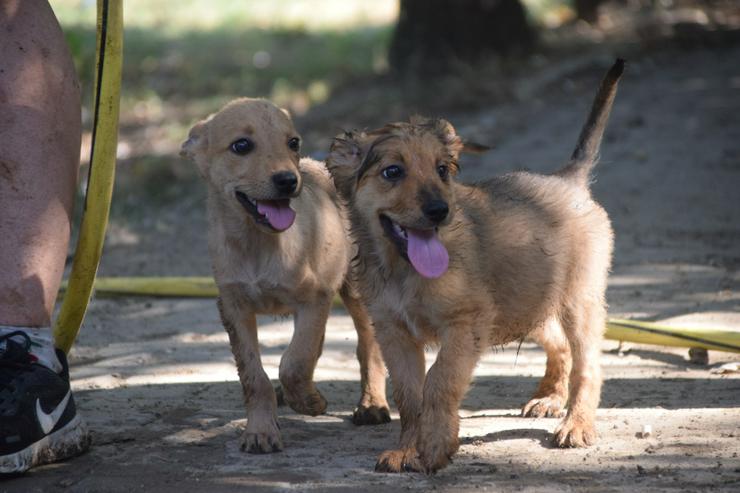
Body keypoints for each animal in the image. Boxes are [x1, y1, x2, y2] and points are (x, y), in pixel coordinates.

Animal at [181, 99, 390, 454]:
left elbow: (295, 361)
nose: (288, 181)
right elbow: (254, 375)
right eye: (241, 145)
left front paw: (309, 402)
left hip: (357, 289)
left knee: (368, 346)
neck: (258, 244)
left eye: (293, 142)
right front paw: (261, 431)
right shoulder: (233, 307)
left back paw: (372, 404)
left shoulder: (315, 299)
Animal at [326, 61, 620, 472]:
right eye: (392, 172)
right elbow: (410, 397)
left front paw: (435, 447)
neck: (404, 270)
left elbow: (439, 382)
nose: (440, 211)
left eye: (442, 170)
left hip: (578, 304)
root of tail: (569, 180)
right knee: (559, 345)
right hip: (528, 306)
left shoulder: (465, 326)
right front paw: (408, 449)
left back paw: (576, 424)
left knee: (587, 365)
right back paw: (549, 398)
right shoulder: (394, 333)